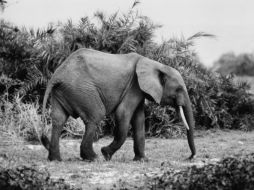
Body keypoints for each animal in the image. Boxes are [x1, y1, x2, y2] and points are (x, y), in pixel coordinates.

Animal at [40, 47, 196, 162]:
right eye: (179, 89)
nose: (189, 157)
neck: (154, 64)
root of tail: (56, 75)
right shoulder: (134, 86)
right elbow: (123, 113)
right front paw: (106, 154)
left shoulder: (138, 90)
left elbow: (139, 120)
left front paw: (142, 160)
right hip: (81, 88)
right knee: (95, 116)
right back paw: (94, 158)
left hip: (63, 90)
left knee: (59, 119)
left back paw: (56, 159)